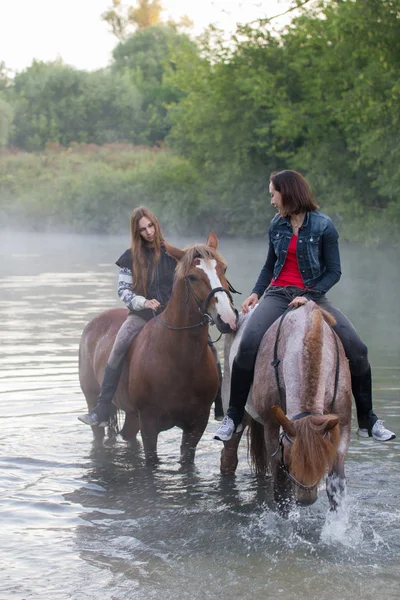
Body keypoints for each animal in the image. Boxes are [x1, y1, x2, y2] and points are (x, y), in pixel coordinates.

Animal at [79, 232, 239, 466]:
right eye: (192, 277)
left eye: (224, 269)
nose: (227, 319)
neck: (179, 358)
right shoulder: (149, 424)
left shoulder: (196, 425)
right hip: (92, 399)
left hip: (131, 416)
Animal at [220, 300, 352, 510]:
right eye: (289, 459)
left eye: (321, 460)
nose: (306, 500)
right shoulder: (273, 429)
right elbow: (281, 491)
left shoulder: (342, 427)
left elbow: (336, 487)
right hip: (237, 415)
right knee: (229, 457)